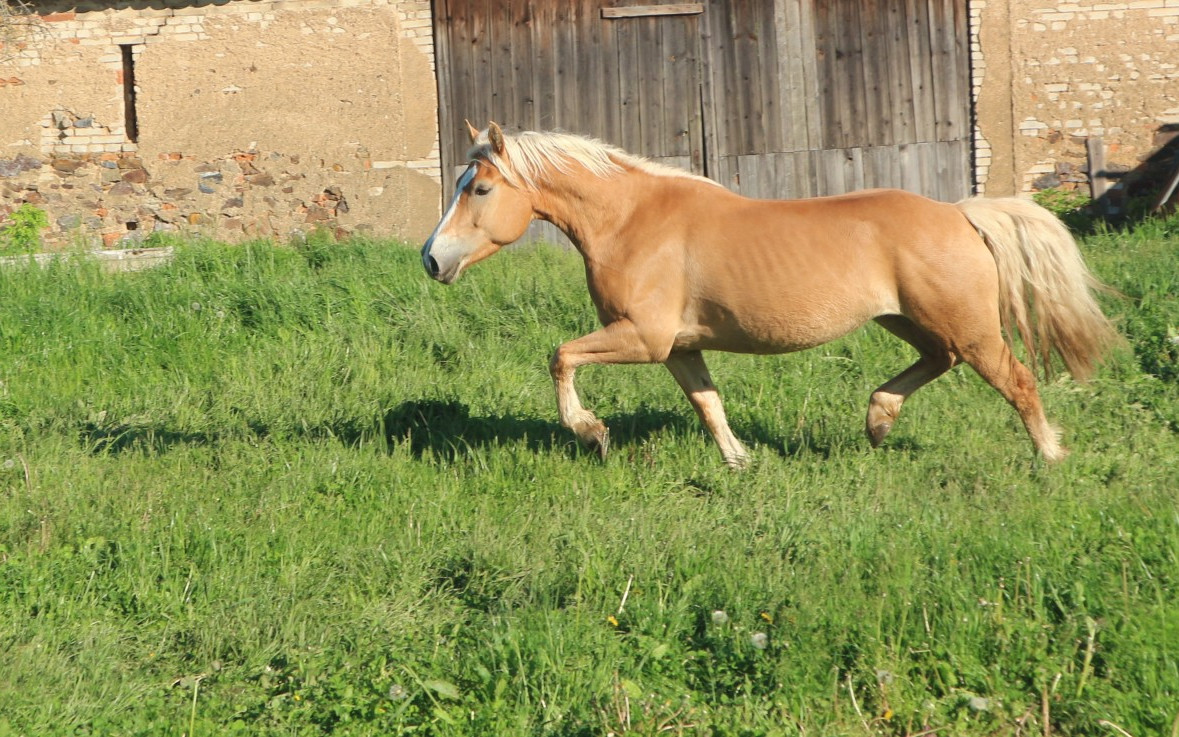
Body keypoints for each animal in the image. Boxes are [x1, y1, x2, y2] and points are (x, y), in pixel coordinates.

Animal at [422, 120, 1112, 464]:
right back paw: (878, 420)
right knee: (936, 362)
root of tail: (959, 213)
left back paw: (1049, 458)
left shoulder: (642, 339)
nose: (432, 259)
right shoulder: (679, 347)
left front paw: (590, 432)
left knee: (1017, 382)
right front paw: (739, 460)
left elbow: (560, 356)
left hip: (967, 326)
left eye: (479, 188)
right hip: (909, 321)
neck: (632, 221)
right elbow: (708, 403)